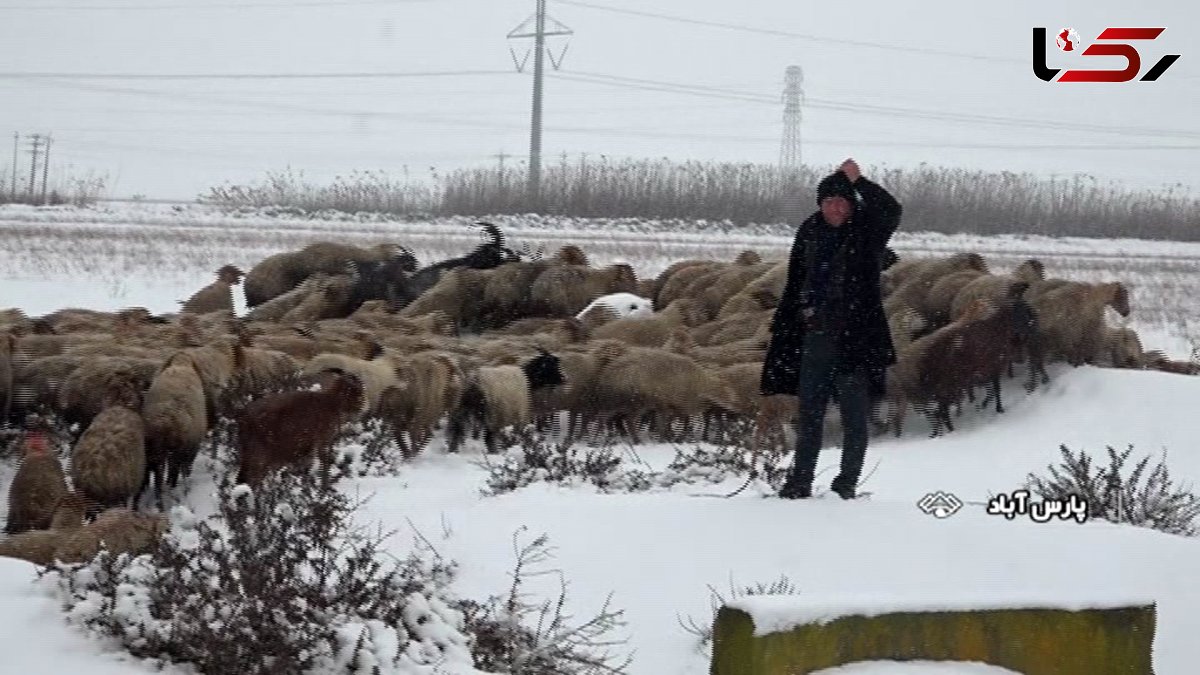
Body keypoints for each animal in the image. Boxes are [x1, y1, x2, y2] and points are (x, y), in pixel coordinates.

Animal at [234, 367, 364, 482]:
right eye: (358, 389)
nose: (361, 407)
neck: (331, 401)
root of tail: (244, 415)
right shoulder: (322, 440)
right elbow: (324, 464)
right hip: (260, 453)